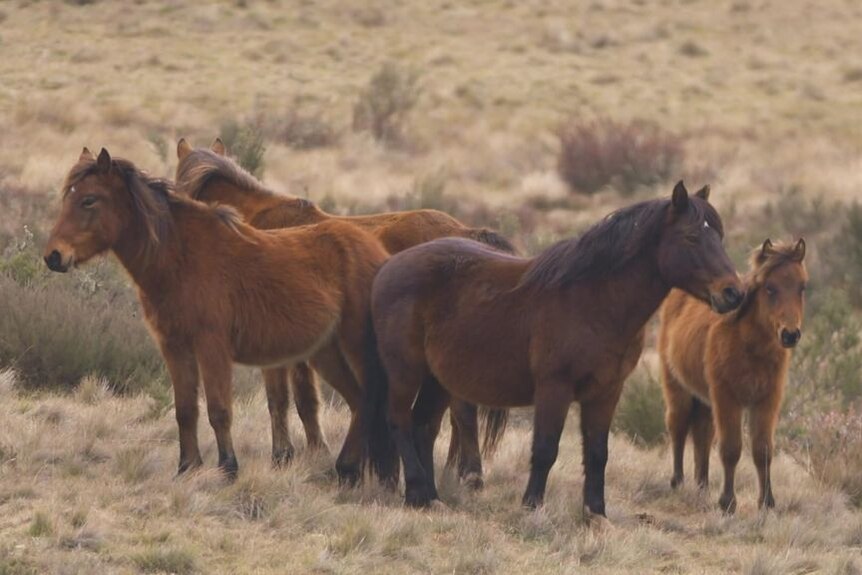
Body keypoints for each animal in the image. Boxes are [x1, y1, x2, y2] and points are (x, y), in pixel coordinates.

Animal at [43, 146, 388, 484]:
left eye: (89, 200)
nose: (53, 256)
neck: (181, 259)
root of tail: (379, 252)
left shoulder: (212, 347)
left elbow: (219, 409)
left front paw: (228, 468)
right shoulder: (174, 347)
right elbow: (185, 409)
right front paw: (187, 467)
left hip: (354, 348)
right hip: (326, 354)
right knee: (360, 401)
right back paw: (349, 470)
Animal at [174, 138, 512, 486]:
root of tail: (468, 234)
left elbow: (278, 399)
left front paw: (282, 455)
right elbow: (307, 401)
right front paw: (316, 451)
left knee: (461, 411)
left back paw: (468, 473)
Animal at [362, 182, 744, 516]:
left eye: (720, 236)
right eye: (692, 236)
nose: (733, 293)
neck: (594, 302)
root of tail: (388, 267)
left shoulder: (606, 392)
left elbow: (598, 453)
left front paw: (595, 512)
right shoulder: (554, 388)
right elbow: (546, 449)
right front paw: (532, 506)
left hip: (438, 380)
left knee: (422, 426)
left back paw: (429, 496)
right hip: (406, 371)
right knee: (399, 420)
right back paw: (417, 491)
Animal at [660, 237, 808, 512]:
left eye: (802, 287)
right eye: (770, 288)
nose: (790, 334)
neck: (750, 347)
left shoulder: (766, 401)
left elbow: (762, 450)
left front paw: (767, 502)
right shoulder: (728, 399)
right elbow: (731, 449)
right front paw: (727, 502)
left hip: (706, 401)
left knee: (702, 435)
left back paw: (702, 487)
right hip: (678, 388)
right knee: (678, 427)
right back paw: (678, 482)